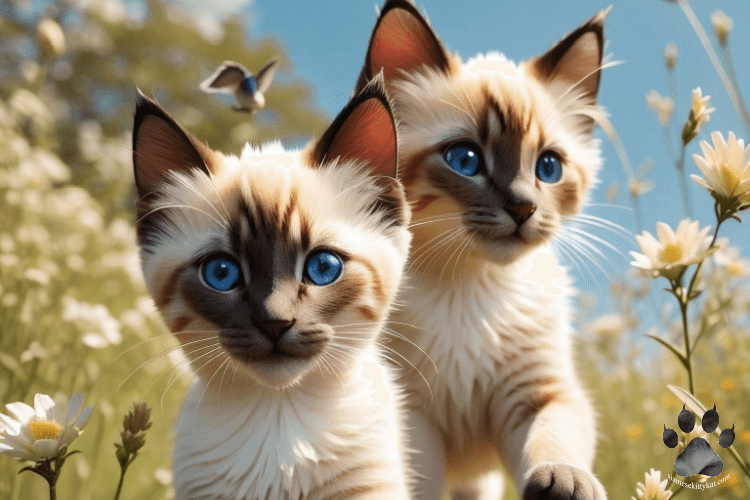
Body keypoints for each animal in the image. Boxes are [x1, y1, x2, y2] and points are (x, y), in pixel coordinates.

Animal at [352, 1, 612, 498]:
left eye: (548, 167)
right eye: (465, 160)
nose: (524, 208)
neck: (468, 284)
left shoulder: (537, 395)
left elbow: (553, 443)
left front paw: (563, 482)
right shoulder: (413, 418)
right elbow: (414, 482)